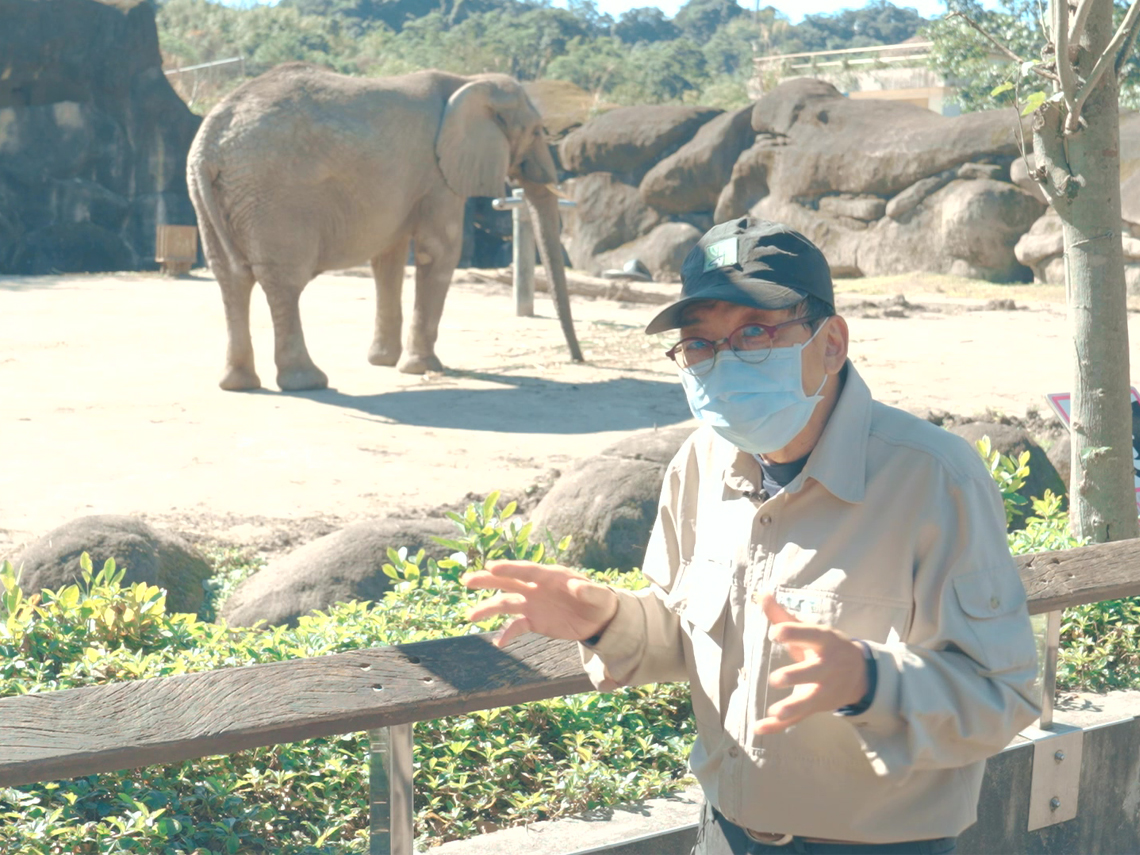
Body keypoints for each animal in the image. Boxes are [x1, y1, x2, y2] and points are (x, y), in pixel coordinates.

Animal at [186, 62, 583, 392]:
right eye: (536, 132)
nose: (577, 358)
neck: (469, 80)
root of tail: (209, 140)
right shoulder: (438, 173)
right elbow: (438, 251)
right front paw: (424, 368)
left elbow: (388, 257)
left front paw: (384, 362)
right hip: (273, 195)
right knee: (282, 281)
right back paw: (308, 382)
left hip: (213, 193)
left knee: (230, 278)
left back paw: (239, 384)